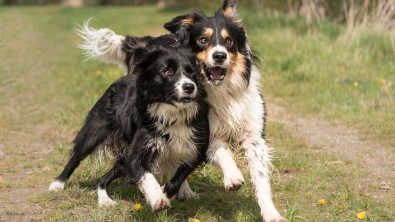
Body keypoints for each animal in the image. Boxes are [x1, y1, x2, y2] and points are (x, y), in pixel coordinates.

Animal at [49, 30, 210, 212]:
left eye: (191, 72)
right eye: (167, 71)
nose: (189, 87)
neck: (172, 113)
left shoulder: (196, 147)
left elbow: (179, 177)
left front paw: (166, 192)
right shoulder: (139, 151)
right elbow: (147, 176)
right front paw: (157, 199)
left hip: (123, 156)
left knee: (101, 179)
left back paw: (105, 200)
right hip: (95, 130)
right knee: (75, 158)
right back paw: (58, 184)